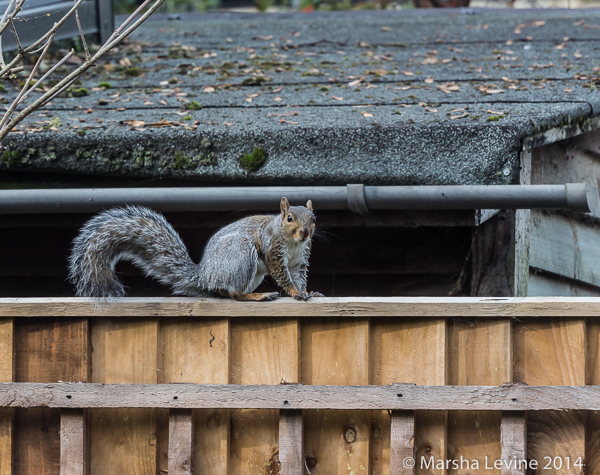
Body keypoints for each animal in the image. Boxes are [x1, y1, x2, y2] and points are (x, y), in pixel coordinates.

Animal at [67, 197, 324, 302]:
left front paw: (307, 292)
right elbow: (283, 275)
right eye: (289, 218)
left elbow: (298, 276)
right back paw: (258, 295)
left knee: (223, 292)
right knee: (234, 293)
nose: (305, 233)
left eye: (314, 218)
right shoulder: (273, 250)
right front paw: (294, 292)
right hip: (241, 255)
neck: (293, 243)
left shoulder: (299, 260)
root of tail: (204, 275)